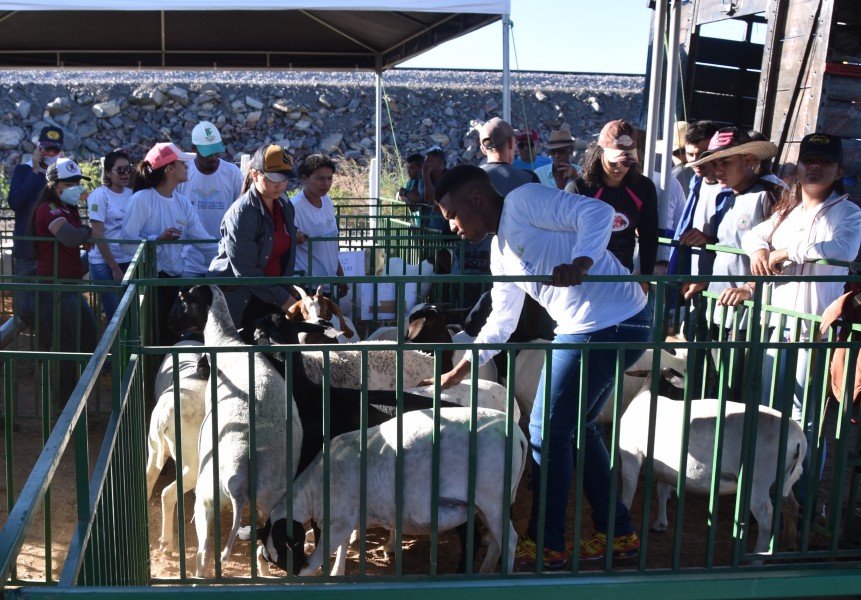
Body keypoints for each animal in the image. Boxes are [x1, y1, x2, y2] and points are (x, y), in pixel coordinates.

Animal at [144, 340, 207, 556]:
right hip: (194, 460)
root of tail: (164, 414)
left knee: (147, 481)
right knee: (168, 494)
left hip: (155, 448)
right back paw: (167, 544)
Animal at [256, 408, 524, 576]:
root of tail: (519, 434)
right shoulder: (347, 519)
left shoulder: (339, 520)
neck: (313, 490)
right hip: (488, 504)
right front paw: (337, 572)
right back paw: (485, 571)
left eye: (285, 546)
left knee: (509, 540)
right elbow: (343, 548)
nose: (294, 569)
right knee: (496, 540)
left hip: (493, 498)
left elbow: (323, 556)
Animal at [620, 368, 808, 556]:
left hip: (758, 479)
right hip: (781, 477)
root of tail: (799, 438)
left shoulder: (631, 457)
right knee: (791, 506)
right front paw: (660, 524)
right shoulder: (664, 468)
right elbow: (661, 491)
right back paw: (789, 545)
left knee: (766, 517)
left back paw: (758, 555)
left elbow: (628, 494)